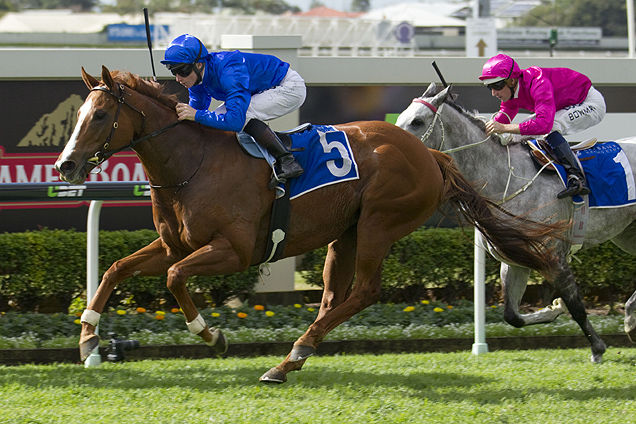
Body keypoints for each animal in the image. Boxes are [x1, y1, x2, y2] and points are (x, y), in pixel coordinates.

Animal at [54, 67, 560, 384]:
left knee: (365, 291)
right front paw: (87, 339)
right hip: (347, 233)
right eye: (78, 114)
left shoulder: (234, 250)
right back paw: (290, 360)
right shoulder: (175, 244)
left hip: (378, 222)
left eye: (101, 115)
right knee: (334, 298)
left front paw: (212, 335)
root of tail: (430, 153)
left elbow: (175, 278)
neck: (194, 164)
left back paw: (292, 354)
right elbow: (115, 269)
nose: (65, 165)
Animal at [396, 82, 632, 362]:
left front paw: (597, 348)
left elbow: (577, 306)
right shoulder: (515, 260)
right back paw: (630, 316)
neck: (506, 178)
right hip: (627, 234)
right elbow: (512, 315)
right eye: (400, 118)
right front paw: (554, 309)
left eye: (417, 121)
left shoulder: (554, 256)